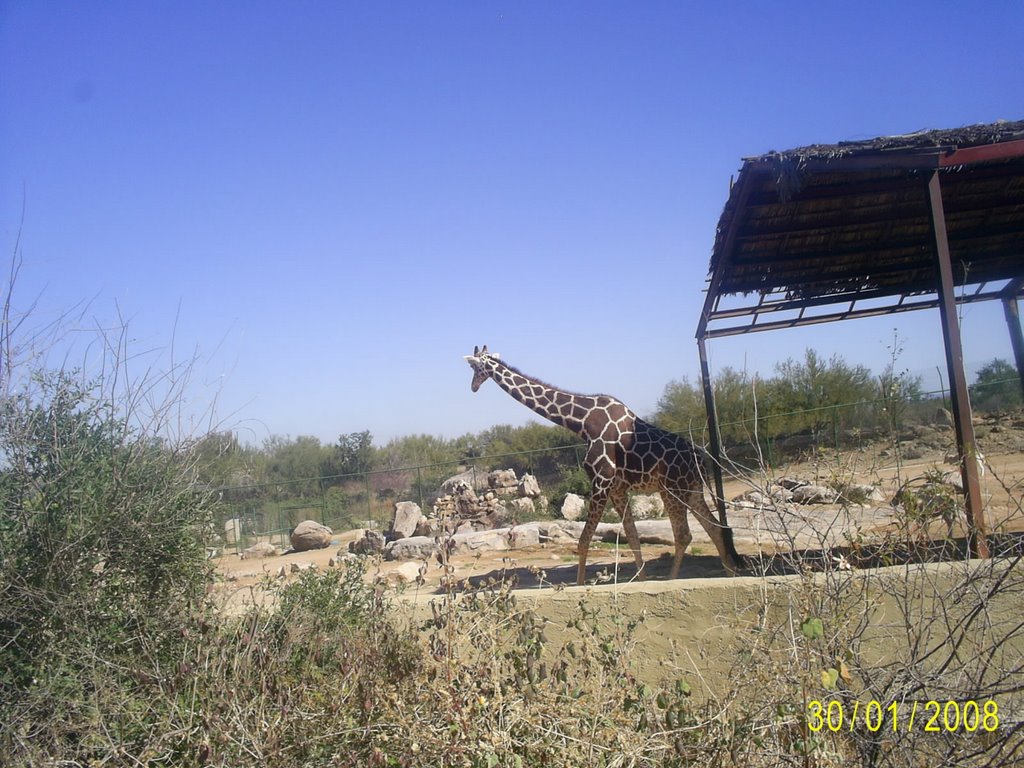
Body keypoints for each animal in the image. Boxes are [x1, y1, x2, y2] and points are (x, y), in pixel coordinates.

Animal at [464, 346, 745, 585]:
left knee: (685, 535)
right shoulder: (617, 488)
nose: (473, 387)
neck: (582, 422)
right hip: (691, 488)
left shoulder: (601, 481)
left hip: (672, 489)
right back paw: (729, 575)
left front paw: (579, 587)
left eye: (475, 368)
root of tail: (701, 459)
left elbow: (584, 541)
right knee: (715, 528)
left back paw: (674, 581)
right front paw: (640, 582)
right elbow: (632, 537)